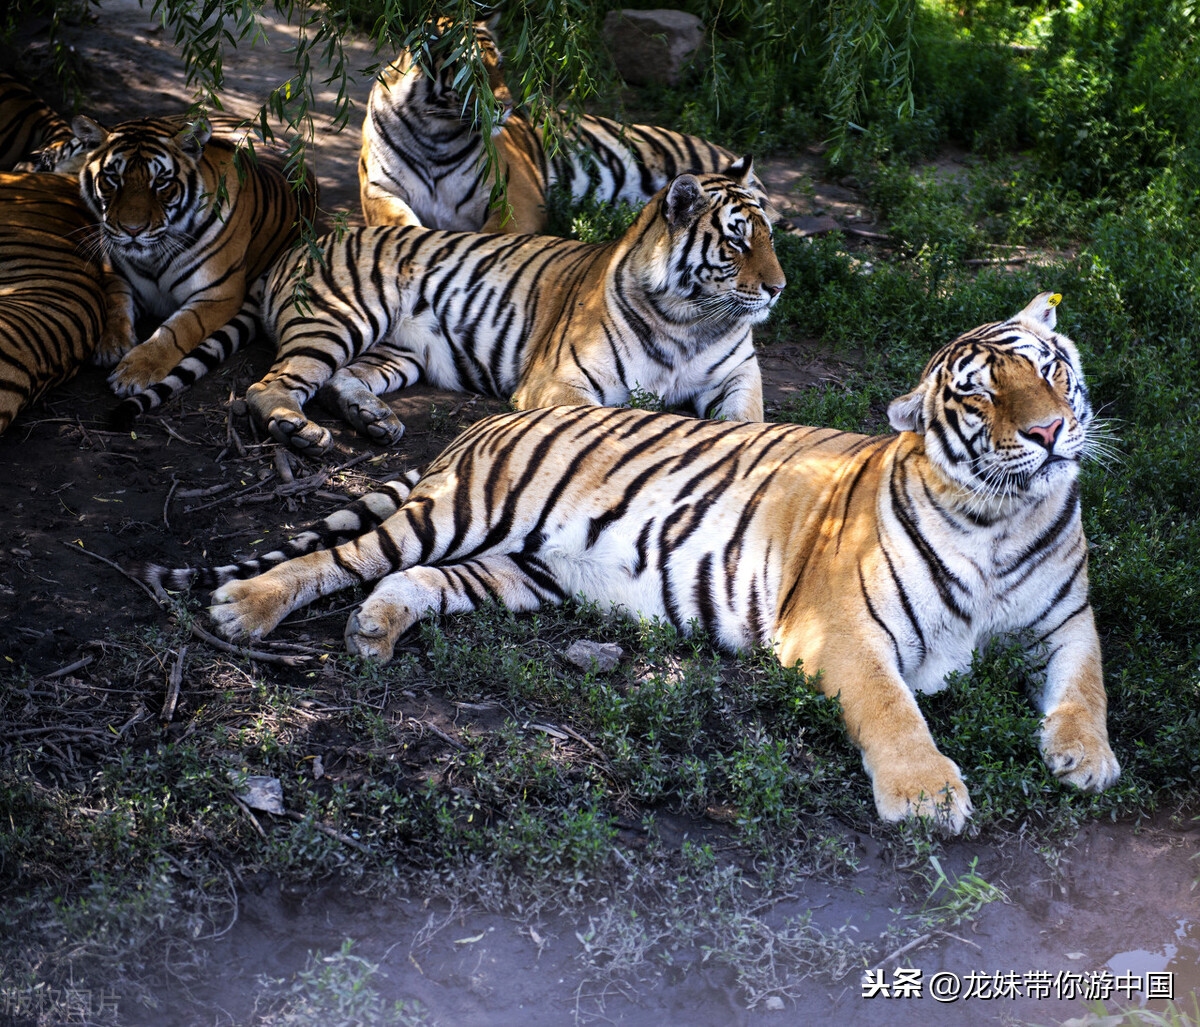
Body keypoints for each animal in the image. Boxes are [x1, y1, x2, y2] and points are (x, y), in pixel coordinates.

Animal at [73, 114, 319, 395]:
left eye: (161, 182)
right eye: (113, 178)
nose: (132, 230)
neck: (152, 257)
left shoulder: (217, 293)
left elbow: (178, 329)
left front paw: (134, 371)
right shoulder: (115, 270)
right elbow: (114, 301)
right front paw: (110, 345)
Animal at [114, 160, 787, 453]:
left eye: (771, 236)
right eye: (736, 241)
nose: (779, 288)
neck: (690, 323)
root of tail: (294, 248)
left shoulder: (737, 377)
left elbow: (750, 421)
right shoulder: (562, 382)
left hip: (397, 351)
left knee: (339, 381)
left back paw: (374, 421)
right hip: (338, 318)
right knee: (272, 383)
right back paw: (297, 430)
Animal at [136, 290, 1118, 835]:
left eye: (1048, 370)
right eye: (978, 395)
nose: (1048, 432)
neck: (1002, 518)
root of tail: (491, 421)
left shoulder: (1068, 618)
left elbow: (1087, 686)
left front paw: (1087, 760)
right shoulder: (842, 626)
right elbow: (893, 706)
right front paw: (925, 793)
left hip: (521, 567)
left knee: (414, 581)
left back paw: (374, 632)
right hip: (463, 511)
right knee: (341, 555)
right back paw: (245, 607)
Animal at [357, 15, 768, 232]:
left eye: (500, 64)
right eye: (473, 71)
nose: (508, 106)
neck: (435, 133)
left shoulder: (515, 195)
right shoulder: (379, 191)